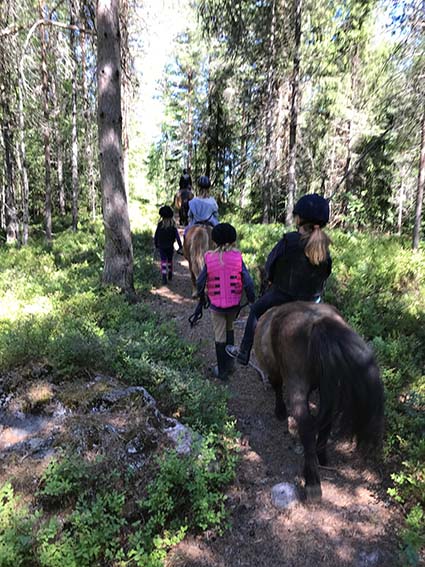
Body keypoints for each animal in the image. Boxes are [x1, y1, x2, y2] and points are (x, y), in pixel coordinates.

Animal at [253, 302, 382, 502]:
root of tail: (318, 323)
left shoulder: (275, 372)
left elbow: (277, 388)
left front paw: (280, 411)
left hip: (297, 383)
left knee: (306, 426)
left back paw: (312, 482)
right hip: (328, 386)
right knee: (326, 420)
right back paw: (321, 456)